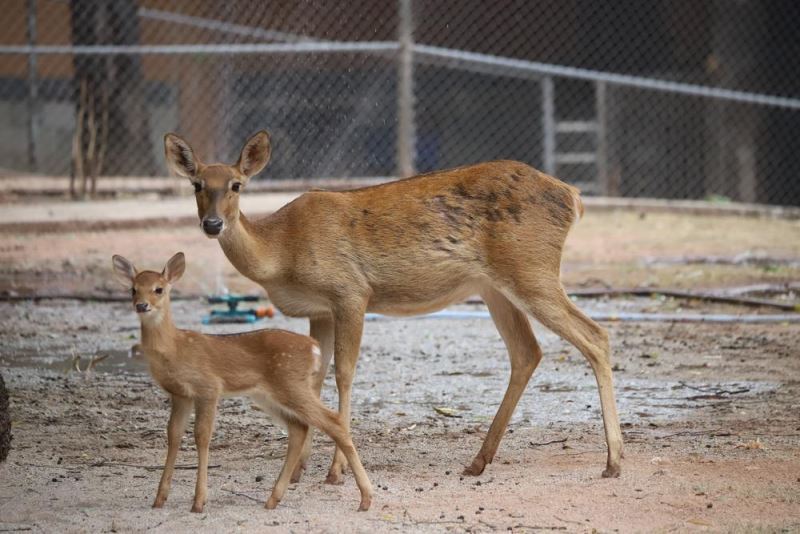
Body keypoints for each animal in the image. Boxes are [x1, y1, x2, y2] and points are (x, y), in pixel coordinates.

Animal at [111, 253, 374, 512]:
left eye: (159, 289)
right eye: (133, 289)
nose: (141, 305)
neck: (175, 347)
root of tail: (314, 348)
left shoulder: (208, 387)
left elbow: (202, 436)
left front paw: (199, 501)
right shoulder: (179, 394)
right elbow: (173, 435)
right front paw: (159, 498)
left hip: (291, 384)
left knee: (333, 422)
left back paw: (365, 497)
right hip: (268, 394)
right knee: (299, 428)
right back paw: (273, 499)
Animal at [164, 131, 624, 486]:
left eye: (237, 184)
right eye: (197, 185)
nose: (212, 224)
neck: (282, 252)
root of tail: (573, 196)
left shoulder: (350, 291)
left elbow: (345, 375)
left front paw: (334, 472)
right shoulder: (319, 310)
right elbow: (315, 378)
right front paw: (298, 469)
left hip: (531, 268)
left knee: (596, 336)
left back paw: (613, 461)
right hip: (495, 286)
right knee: (527, 351)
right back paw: (478, 460)